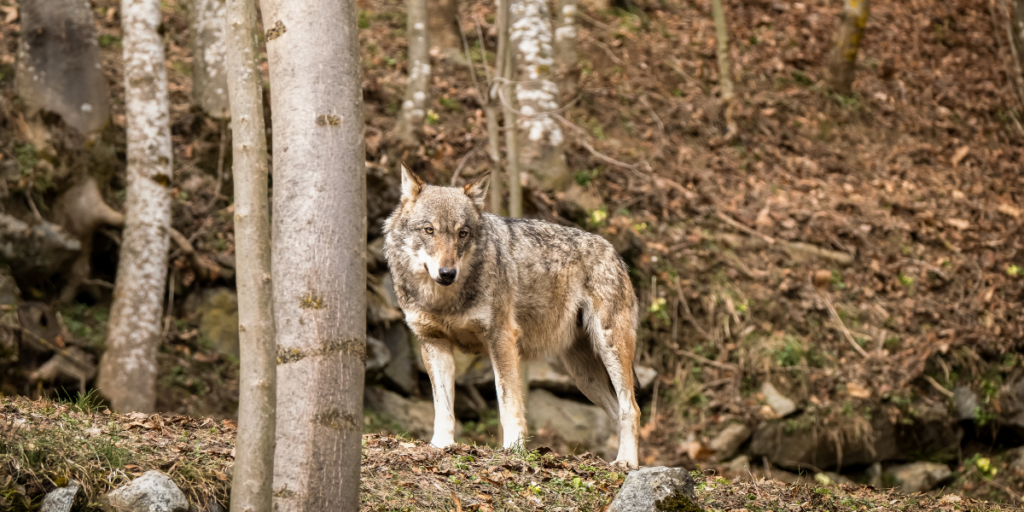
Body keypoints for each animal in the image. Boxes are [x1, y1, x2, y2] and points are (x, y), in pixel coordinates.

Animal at [383, 166, 641, 468]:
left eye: (463, 233)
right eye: (429, 230)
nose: (447, 273)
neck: (444, 299)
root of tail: (614, 253)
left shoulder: (502, 338)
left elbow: (507, 401)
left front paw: (513, 450)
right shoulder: (434, 343)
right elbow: (443, 406)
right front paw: (441, 445)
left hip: (609, 349)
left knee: (631, 409)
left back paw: (627, 463)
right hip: (583, 376)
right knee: (617, 411)